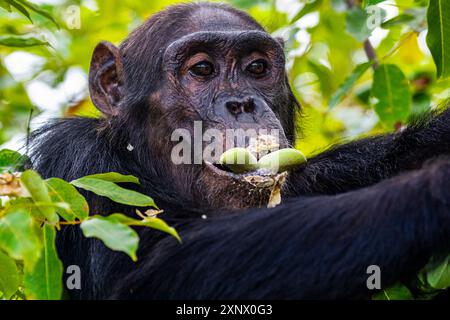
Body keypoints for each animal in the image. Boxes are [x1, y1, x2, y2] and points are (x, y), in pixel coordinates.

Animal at [29, 1, 450, 300]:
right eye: (202, 70)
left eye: (257, 68)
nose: (242, 103)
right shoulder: (82, 168)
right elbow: (153, 276)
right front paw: (430, 191)